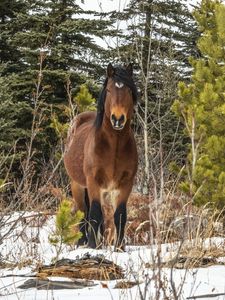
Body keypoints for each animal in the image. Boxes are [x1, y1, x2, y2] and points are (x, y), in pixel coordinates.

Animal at [62, 62, 137, 250]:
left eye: (128, 90)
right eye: (109, 90)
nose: (117, 119)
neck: (113, 147)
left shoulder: (125, 184)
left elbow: (120, 215)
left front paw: (119, 248)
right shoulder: (93, 181)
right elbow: (95, 214)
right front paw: (92, 245)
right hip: (78, 185)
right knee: (83, 212)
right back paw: (82, 242)